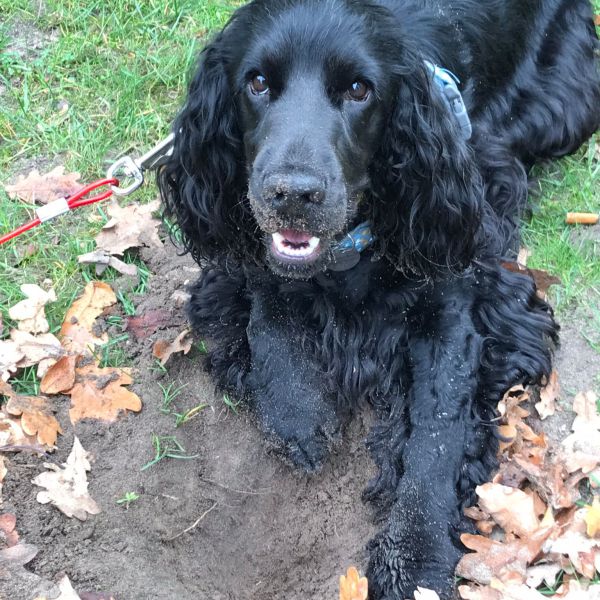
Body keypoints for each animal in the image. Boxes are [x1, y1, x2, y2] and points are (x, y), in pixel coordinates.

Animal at [158, 2, 600, 596]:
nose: (292, 195)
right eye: (256, 82)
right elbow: (267, 303)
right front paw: (296, 408)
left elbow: (437, 430)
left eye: (358, 89)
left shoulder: (456, 292)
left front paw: (417, 555)